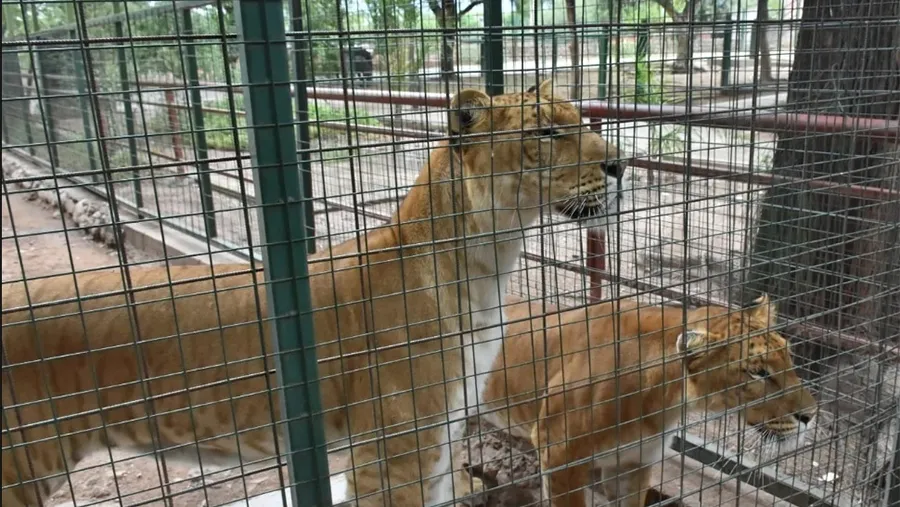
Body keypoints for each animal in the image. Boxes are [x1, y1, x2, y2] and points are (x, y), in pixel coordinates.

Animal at [1, 79, 627, 507]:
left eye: (580, 120)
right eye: (545, 133)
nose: (621, 165)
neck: (487, 262)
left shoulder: (438, 440)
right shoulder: (392, 454)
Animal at [478, 294, 817, 507]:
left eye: (789, 356)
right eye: (758, 373)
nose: (811, 416)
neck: (665, 399)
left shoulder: (634, 462)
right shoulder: (560, 455)